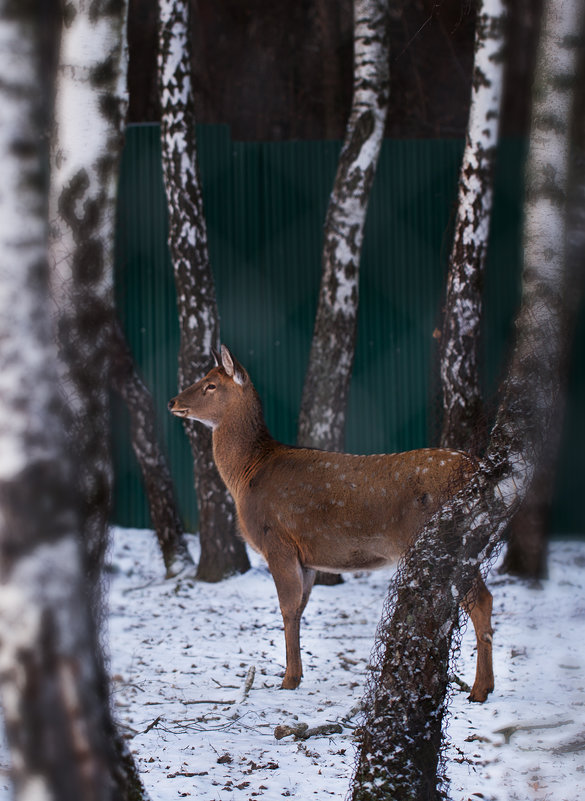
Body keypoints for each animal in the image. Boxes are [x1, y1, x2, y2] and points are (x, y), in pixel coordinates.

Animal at [168, 344, 492, 700]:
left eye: (210, 385)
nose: (172, 401)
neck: (248, 474)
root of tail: (477, 468)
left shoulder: (276, 540)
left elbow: (287, 608)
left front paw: (288, 679)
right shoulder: (307, 557)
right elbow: (300, 609)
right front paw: (296, 675)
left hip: (448, 535)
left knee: (477, 602)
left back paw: (478, 690)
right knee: (485, 599)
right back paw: (484, 686)